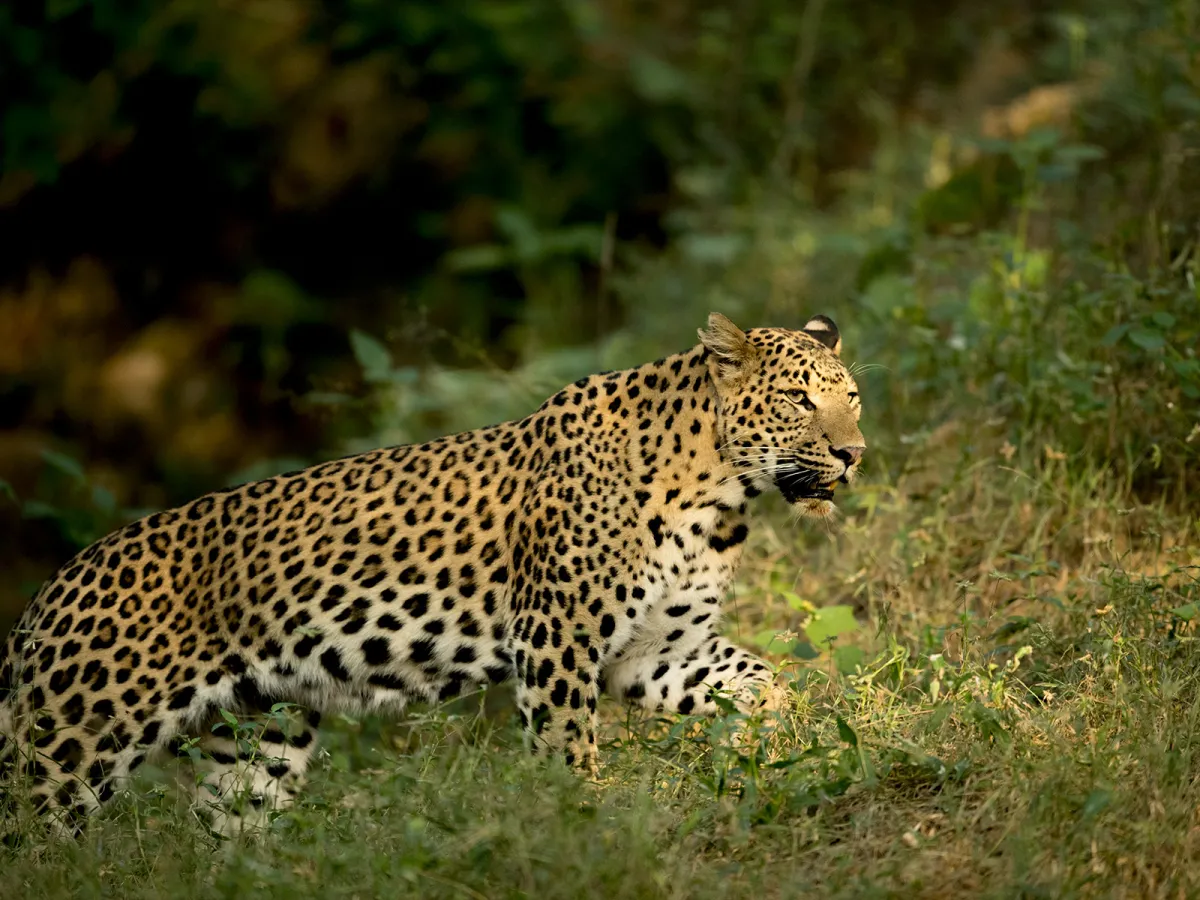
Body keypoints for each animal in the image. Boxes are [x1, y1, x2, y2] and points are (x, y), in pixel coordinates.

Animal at [0, 311, 865, 838]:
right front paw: (586, 822)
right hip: (71, 744)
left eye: (852, 398)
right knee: (32, 839)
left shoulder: (654, 652)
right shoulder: (557, 641)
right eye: (799, 399)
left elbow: (764, 681)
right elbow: (569, 748)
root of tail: (43, 596)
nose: (854, 453)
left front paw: (779, 751)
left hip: (259, 742)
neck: (720, 491)